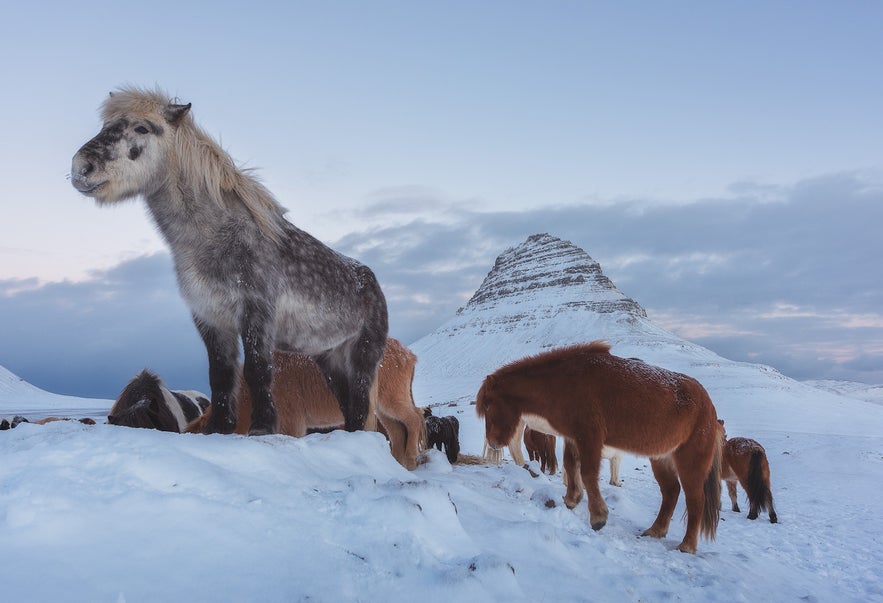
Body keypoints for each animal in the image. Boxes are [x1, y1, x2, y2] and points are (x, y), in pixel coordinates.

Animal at [69, 85, 386, 436]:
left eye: (142, 128)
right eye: (104, 126)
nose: (80, 168)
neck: (216, 239)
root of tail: (369, 280)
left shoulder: (256, 312)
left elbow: (257, 369)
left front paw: (262, 426)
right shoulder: (210, 318)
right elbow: (221, 375)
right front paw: (219, 427)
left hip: (362, 354)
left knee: (360, 399)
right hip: (328, 357)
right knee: (346, 401)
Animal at [188, 340, 426, 472]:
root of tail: (407, 353)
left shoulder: (291, 422)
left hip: (392, 400)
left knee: (415, 418)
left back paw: (410, 458)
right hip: (382, 409)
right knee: (397, 430)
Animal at [480, 342, 720, 556]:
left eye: (488, 404)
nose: (492, 442)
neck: (562, 383)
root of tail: (709, 405)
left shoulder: (590, 437)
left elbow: (587, 473)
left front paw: (598, 517)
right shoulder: (574, 438)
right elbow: (571, 466)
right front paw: (571, 499)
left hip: (690, 461)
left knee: (695, 500)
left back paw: (686, 545)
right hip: (661, 458)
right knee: (671, 491)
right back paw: (656, 531)